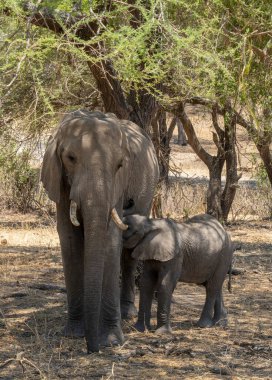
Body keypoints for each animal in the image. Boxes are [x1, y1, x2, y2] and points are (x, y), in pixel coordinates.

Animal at [41, 110, 159, 354]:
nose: (91, 349)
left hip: (149, 188)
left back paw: (127, 314)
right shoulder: (60, 181)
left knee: (129, 253)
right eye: (70, 158)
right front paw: (74, 333)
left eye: (120, 165)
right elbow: (70, 239)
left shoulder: (117, 188)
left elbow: (110, 239)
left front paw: (112, 341)